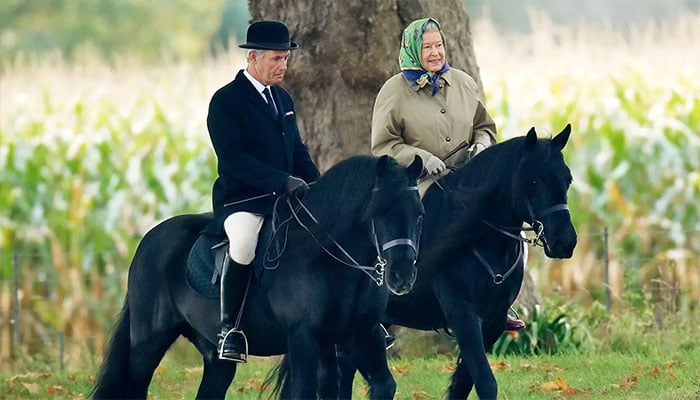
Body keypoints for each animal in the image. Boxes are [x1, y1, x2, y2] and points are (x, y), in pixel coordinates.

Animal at [90, 155, 424, 398]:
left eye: (419, 213)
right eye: (377, 212)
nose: (402, 277)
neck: (328, 259)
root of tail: (149, 238)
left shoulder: (361, 335)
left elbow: (381, 386)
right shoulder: (304, 339)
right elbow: (305, 393)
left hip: (215, 356)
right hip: (148, 343)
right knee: (135, 386)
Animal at [336, 123, 576, 398]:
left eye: (568, 179)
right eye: (533, 180)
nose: (565, 241)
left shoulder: (493, 321)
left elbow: (464, 382)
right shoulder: (462, 313)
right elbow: (485, 381)